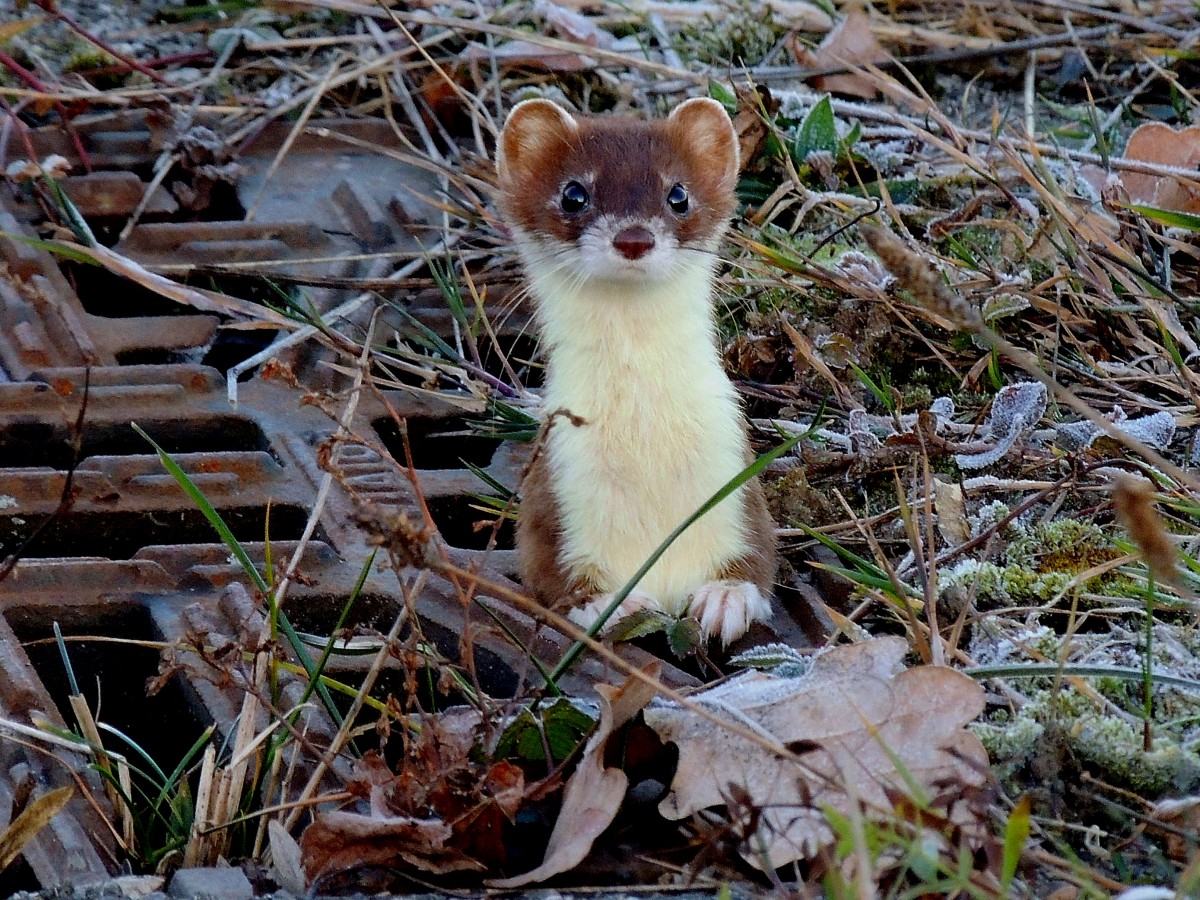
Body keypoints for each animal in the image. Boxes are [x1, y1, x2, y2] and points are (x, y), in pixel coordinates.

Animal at [496, 98, 777, 648]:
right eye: (574, 193)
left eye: (678, 193)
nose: (633, 237)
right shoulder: (555, 490)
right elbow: (548, 572)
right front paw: (614, 604)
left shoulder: (735, 472)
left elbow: (759, 548)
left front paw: (726, 596)